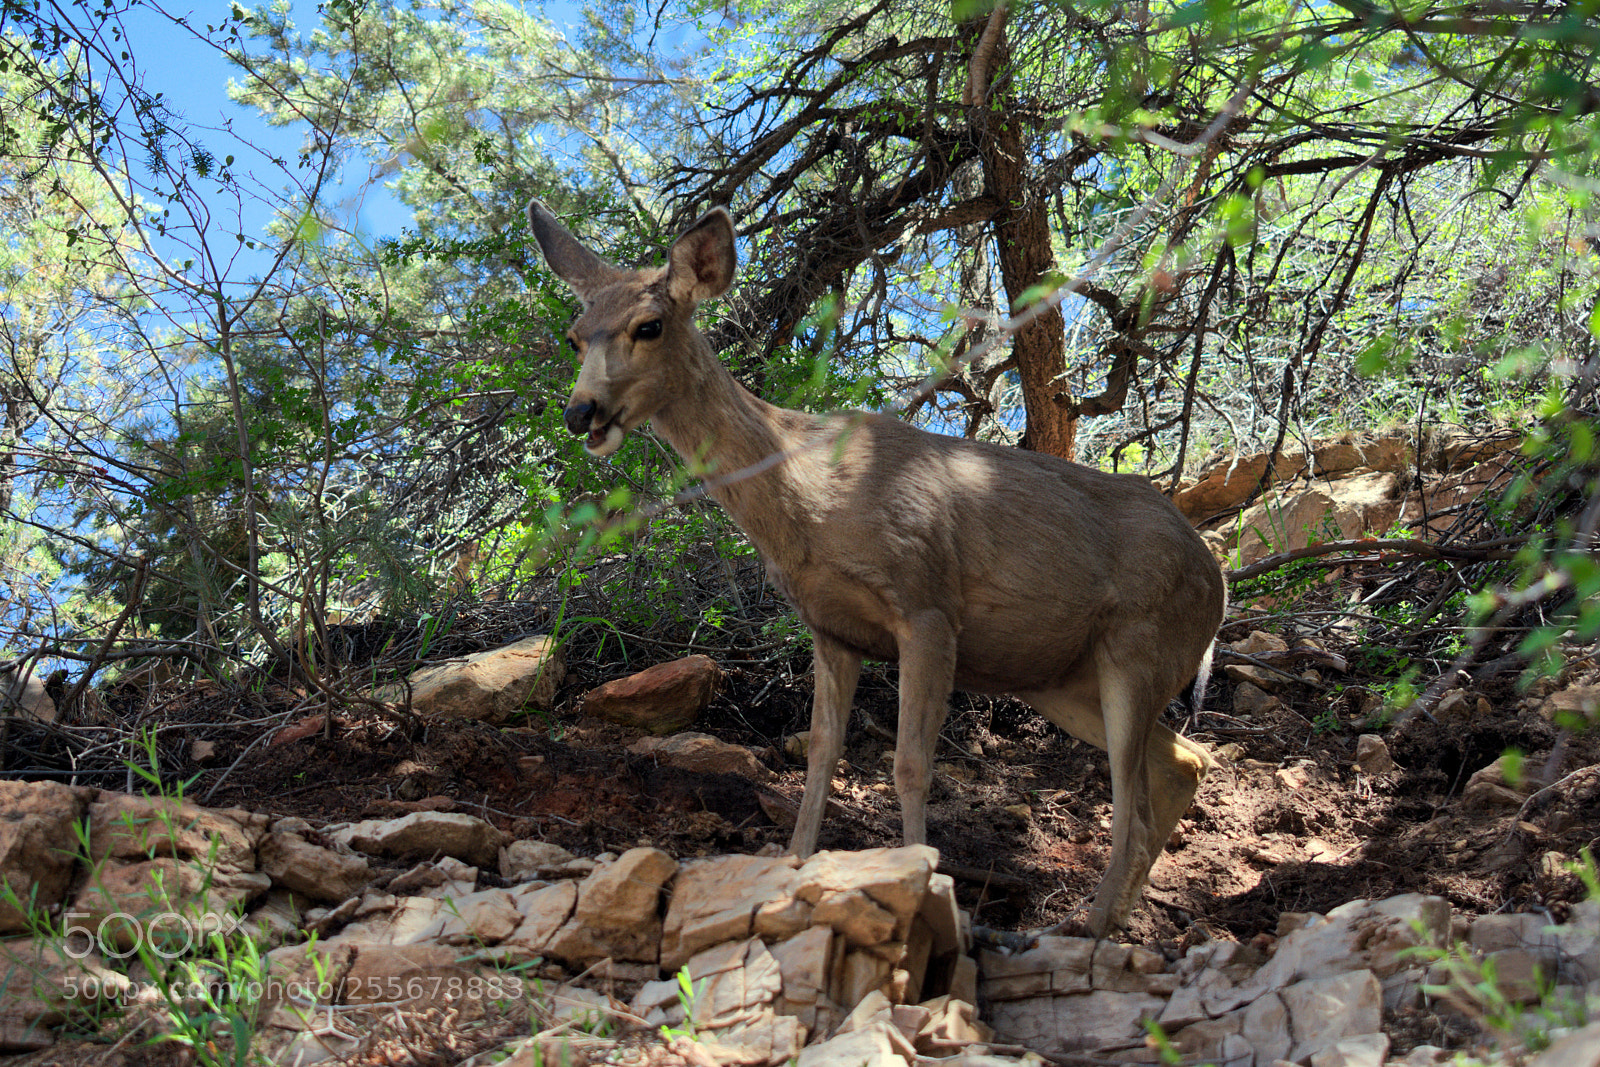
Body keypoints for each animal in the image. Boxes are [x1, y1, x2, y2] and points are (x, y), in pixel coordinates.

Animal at [527, 200, 1227, 938]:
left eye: (649, 325)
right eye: (574, 337)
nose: (580, 412)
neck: (809, 496)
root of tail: (1219, 583)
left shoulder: (926, 605)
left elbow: (911, 765)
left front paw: (926, 887)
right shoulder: (831, 627)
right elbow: (820, 753)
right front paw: (793, 868)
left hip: (1141, 645)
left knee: (1137, 808)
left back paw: (1085, 931)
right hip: (1061, 678)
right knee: (1184, 762)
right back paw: (1110, 919)